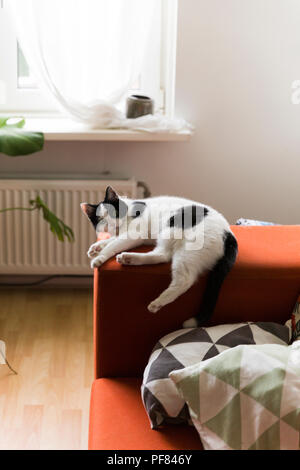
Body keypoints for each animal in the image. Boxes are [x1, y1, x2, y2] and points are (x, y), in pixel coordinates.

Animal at [81, 185, 238, 324]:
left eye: (114, 213)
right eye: (100, 219)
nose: (111, 224)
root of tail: (228, 234)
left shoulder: (134, 235)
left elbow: (113, 245)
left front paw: (99, 257)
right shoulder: (130, 237)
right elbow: (111, 240)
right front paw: (96, 247)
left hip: (179, 239)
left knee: (184, 278)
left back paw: (158, 302)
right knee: (162, 255)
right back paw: (129, 258)